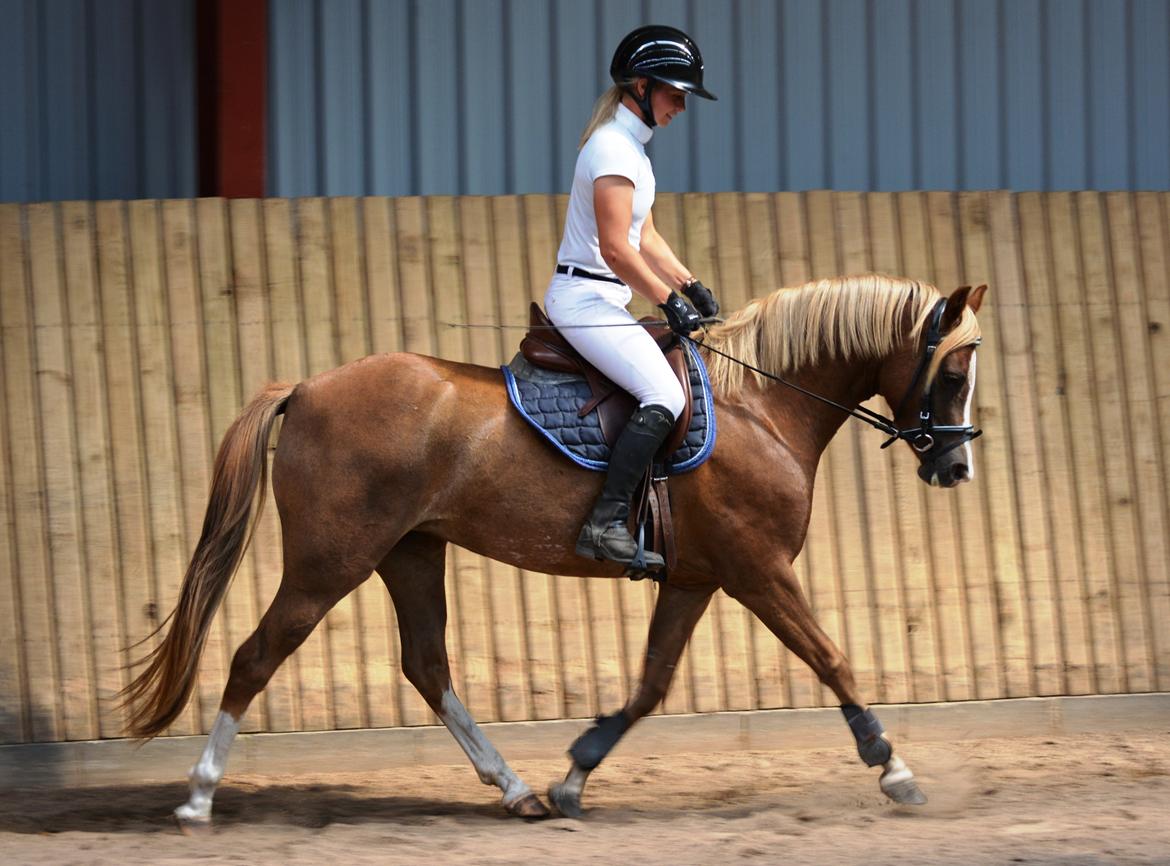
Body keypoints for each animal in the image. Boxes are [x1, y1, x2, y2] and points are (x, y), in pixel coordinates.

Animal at [122, 273, 986, 828]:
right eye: (953, 371)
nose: (956, 469)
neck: (760, 407)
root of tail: (305, 388)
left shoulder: (696, 579)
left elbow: (650, 686)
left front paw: (574, 775)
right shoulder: (760, 572)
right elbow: (831, 657)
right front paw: (895, 769)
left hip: (410, 552)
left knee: (427, 666)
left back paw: (516, 791)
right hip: (330, 561)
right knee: (256, 654)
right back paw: (198, 797)